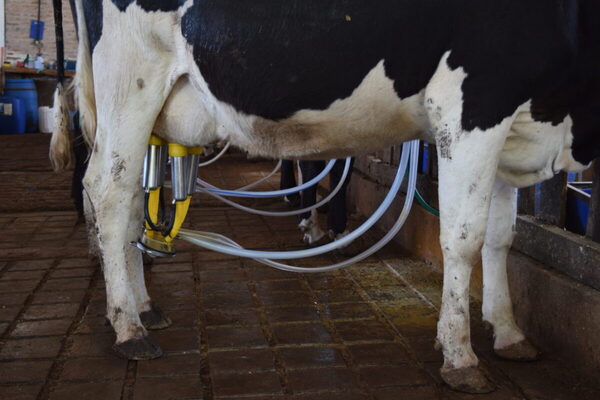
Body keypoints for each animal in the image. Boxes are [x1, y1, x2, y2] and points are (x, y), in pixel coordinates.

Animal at [51, 0, 600, 394]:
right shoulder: (471, 106)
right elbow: (464, 240)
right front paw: (460, 356)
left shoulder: (513, 126)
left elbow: (501, 239)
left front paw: (509, 333)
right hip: (129, 82)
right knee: (108, 192)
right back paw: (129, 329)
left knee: (127, 202)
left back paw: (144, 307)